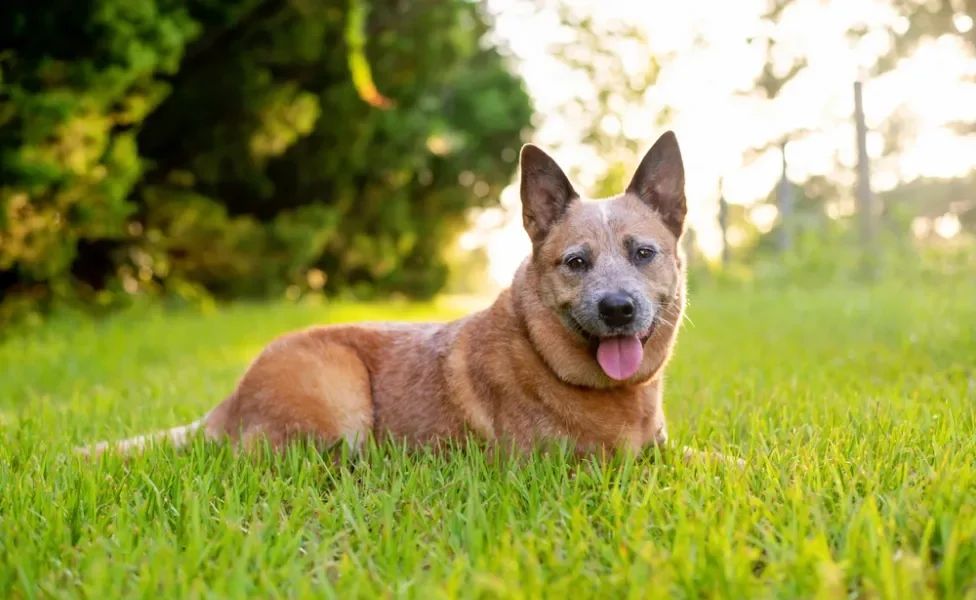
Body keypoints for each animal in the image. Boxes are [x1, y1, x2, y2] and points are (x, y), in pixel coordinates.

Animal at [82, 131, 740, 466]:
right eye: (576, 263)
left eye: (642, 253)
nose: (617, 309)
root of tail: (231, 397)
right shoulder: (572, 469)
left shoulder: (662, 448)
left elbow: (722, 463)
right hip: (339, 395)